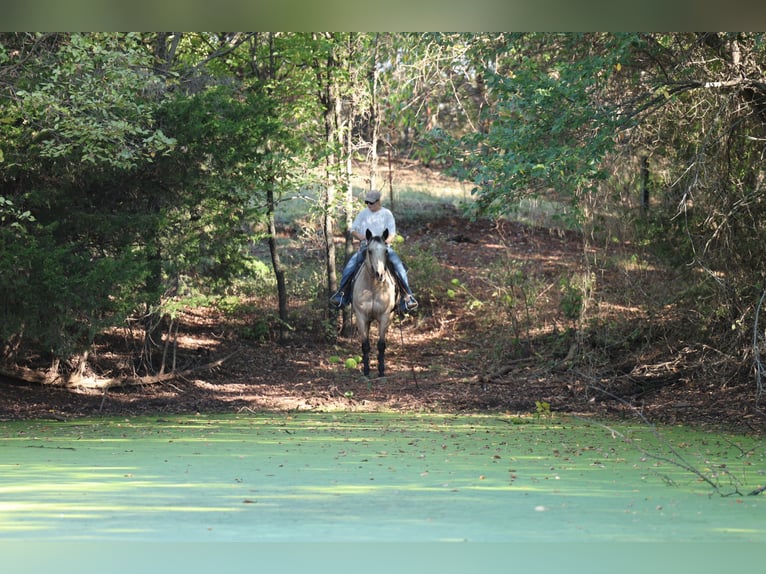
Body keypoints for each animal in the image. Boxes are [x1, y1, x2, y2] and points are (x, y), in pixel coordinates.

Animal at [352, 228, 397, 377]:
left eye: (386, 251)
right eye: (370, 251)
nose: (380, 275)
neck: (373, 286)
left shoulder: (384, 316)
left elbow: (381, 345)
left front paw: (381, 370)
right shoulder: (361, 317)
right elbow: (365, 345)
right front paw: (366, 371)